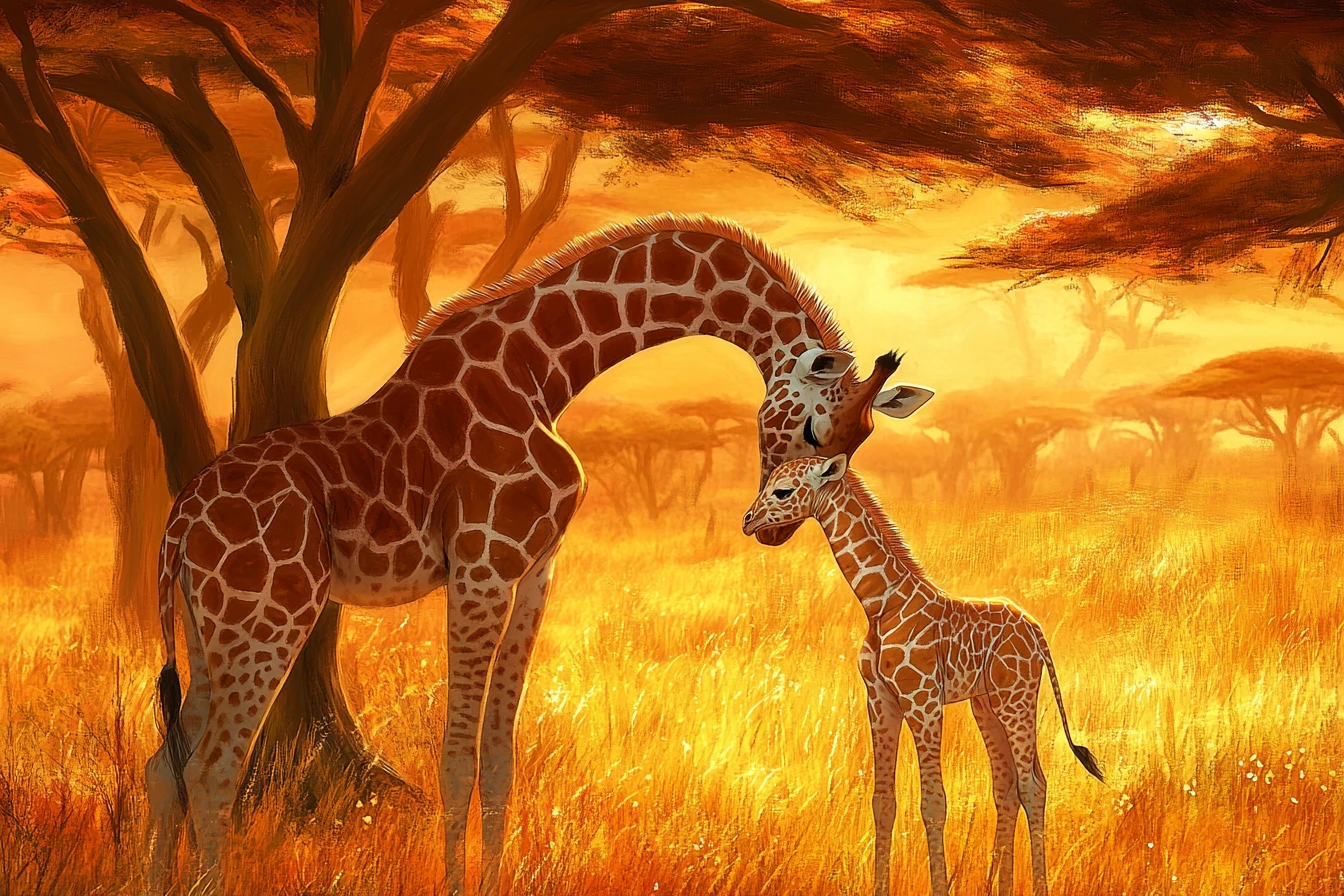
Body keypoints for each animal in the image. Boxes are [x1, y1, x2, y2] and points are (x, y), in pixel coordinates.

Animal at [144, 214, 937, 894]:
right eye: (812, 429)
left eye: (859, 440)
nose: (773, 526)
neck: (542, 368)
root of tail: (176, 522)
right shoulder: (481, 566)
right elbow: (456, 760)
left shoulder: (533, 572)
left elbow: (499, 761)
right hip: (267, 617)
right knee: (213, 772)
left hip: (210, 631)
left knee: (165, 769)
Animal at [741, 454, 1105, 896]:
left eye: (783, 491)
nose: (747, 521)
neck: (881, 605)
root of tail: (1037, 631)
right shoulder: (880, 701)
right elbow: (883, 802)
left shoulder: (924, 700)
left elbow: (933, 802)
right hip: (987, 706)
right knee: (1007, 788)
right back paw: (998, 888)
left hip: (1016, 698)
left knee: (1033, 786)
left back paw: (1037, 888)